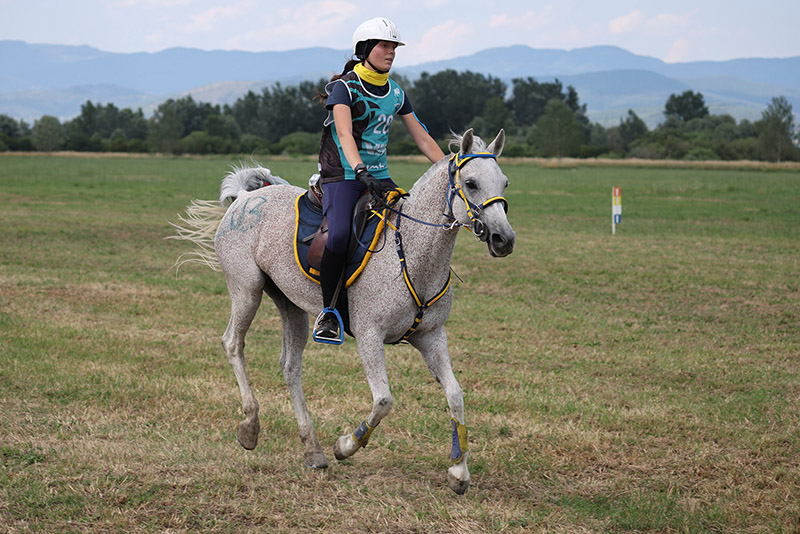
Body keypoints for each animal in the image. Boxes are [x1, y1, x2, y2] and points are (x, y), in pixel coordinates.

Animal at [172, 131, 516, 498]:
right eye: (471, 183)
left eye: (504, 182)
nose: (504, 239)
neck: (412, 252)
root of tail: (246, 198)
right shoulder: (369, 336)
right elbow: (384, 400)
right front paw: (346, 445)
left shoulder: (431, 336)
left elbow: (455, 395)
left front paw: (458, 471)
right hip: (246, 289)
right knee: (233, 343)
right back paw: (251, 427)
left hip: (290, 304)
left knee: (290, 366)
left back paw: (312, 449)